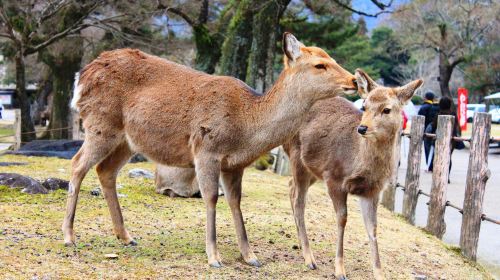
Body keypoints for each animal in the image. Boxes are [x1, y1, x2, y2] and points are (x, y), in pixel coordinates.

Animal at [63, 34, 360, 268]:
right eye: (319, 64)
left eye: (331, 57)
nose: (354, 80)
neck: (246, 126)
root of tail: (81, 76)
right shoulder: (206, 150)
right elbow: (210, 198)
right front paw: (214, 257)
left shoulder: (235, 164)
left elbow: (236, 202)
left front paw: (250, 256)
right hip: (100, 123)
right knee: (77, 164)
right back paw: (69, 236)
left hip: (128, 140)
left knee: (105, 170)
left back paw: (126, 236)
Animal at [286, 69, 422, 280]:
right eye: (364, 106)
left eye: (387, 109)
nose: (362, 128)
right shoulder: (334, 177)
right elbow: (342, 219)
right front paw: (340, 270)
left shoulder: (372, 191)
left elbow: (373, 228)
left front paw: (379, 273)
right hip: (296, 156)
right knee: (299, 201)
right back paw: (309, 258)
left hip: (312, 170)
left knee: (291, 188)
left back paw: (301, 244)